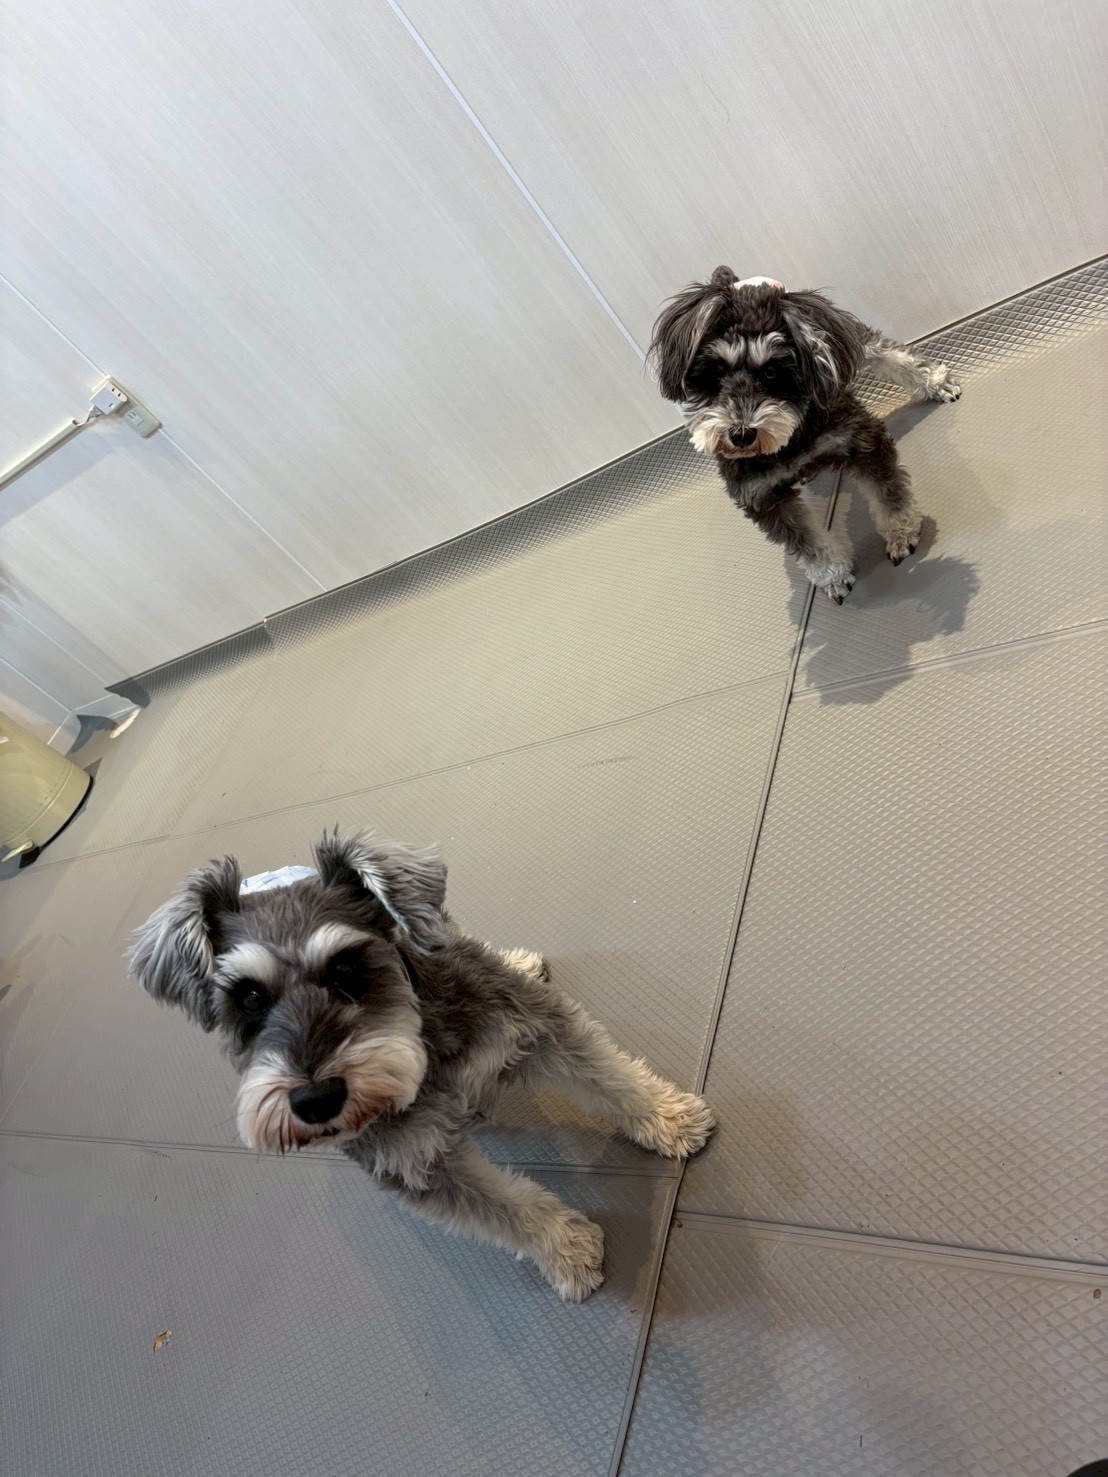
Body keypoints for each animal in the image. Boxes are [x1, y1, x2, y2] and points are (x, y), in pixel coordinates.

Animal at [129, 831, 714, 1301]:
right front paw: (567, 1249)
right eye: (249, 999)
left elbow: (610, 1081)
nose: (315, 1101)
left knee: (445, 927)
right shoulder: (414, 1165)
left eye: (347, 968)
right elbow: (507, 1211)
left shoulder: (537, 1028)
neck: (422, 1052)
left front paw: (670, 1118)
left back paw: (518, 959)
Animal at [648, 268, 961, 603]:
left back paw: (936, 382)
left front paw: (902, 533)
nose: (741, 435)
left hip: (847, 339)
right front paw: (833, 577)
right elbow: (808, 544)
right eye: (716, 371)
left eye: (772, 372)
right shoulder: (761, 496)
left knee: (889, 353)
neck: (787, 444)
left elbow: (888, 495)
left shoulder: (859, 440)